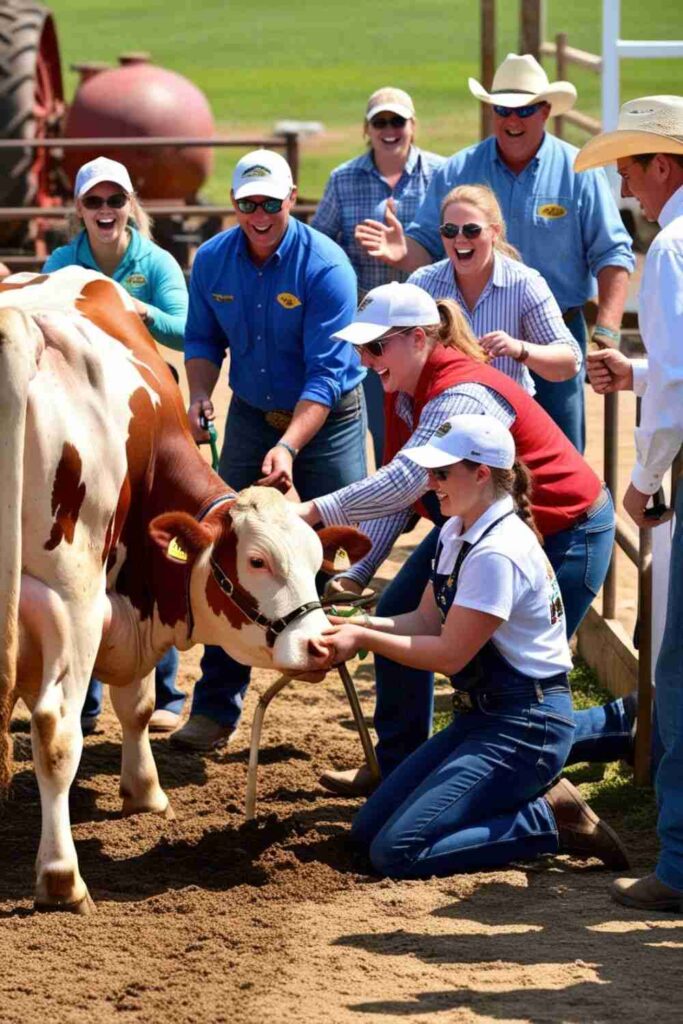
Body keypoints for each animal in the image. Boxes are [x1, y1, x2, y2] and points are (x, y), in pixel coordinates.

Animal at [0, 268, 368, 917]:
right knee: (56, 730)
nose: (323, 646)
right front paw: (147, 793)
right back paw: (62, 879)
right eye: (256, 561)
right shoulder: (108, 602)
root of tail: (24, 333)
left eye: (316, 562)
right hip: (72, 598)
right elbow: (138, 703)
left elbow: (135, 703)